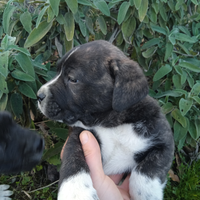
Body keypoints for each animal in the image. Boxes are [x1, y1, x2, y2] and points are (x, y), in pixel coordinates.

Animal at [38, 39, 175, 199]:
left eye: (72, 79)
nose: (39, 95)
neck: (110, 123)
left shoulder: (164, 142)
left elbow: (147, 171)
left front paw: (146, 194)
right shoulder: (80, 135)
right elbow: (72, 159)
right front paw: (76, 191)